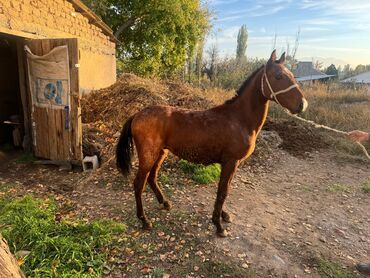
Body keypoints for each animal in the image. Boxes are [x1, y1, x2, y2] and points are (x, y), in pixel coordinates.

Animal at [117, 50, 308, 237]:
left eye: (292, 75)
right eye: (278, 76)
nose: (303, 105)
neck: (238, 119)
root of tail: (137, 114)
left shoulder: (232, 164)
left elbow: (225, 189)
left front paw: (223, 216)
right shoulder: (230, 162)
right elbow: (223, 192)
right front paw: (218, 225)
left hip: (161, 153)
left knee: (151, 177)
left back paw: (164, 203)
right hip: (148, 156)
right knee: (139, 184)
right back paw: (144, 220)